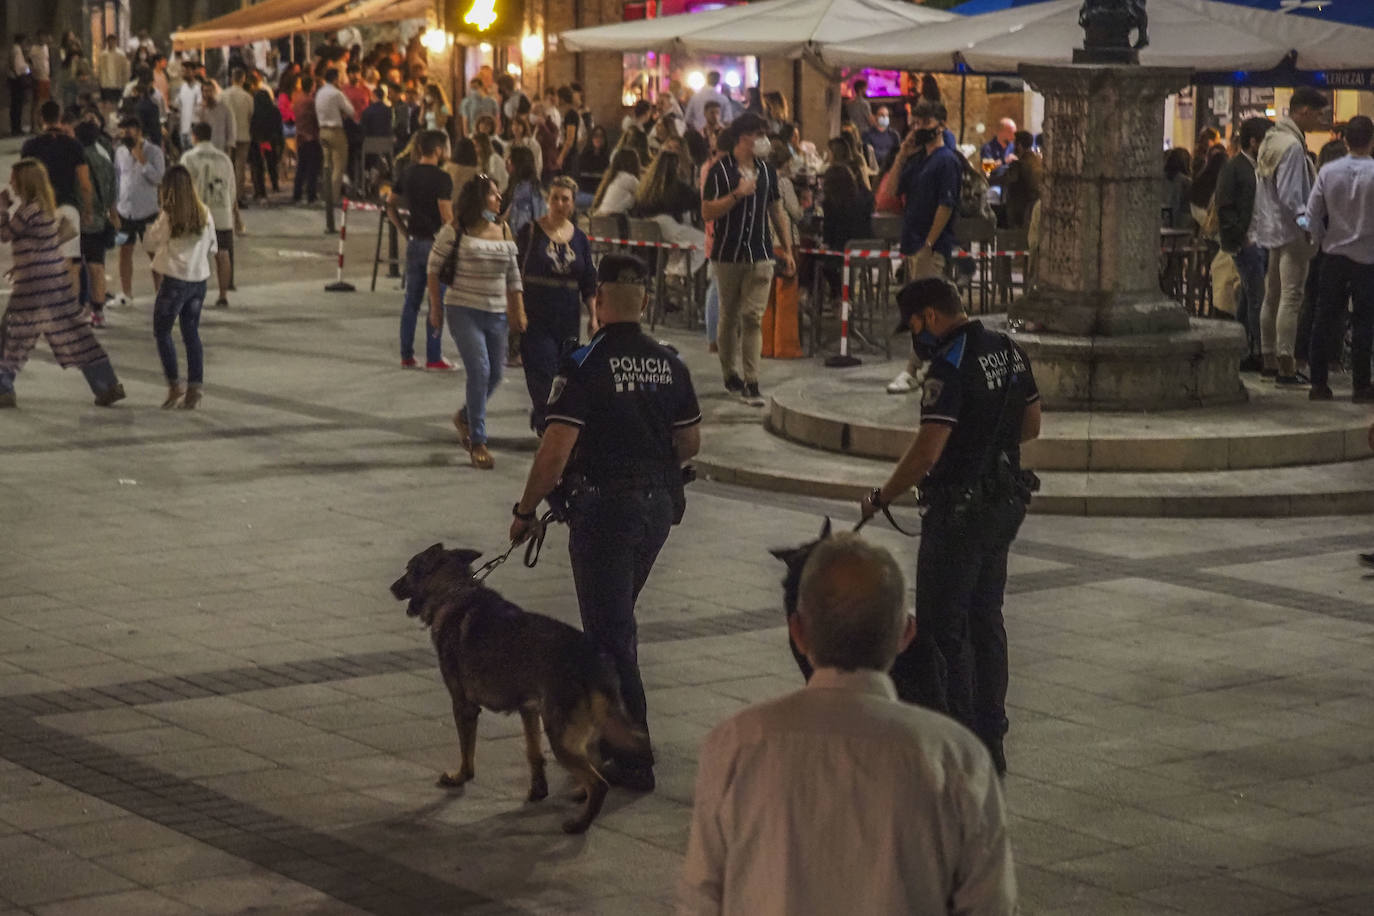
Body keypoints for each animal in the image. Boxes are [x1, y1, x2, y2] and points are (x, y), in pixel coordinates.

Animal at [392, 543, 654, 840]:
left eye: (410, 570)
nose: (391, 587)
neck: (455, 591)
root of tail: (595, 659)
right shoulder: (528, 708)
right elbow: (533, 752)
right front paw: (538, 788)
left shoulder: (463, 705)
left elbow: (466, 750)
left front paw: (461, 777)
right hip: (580, 731)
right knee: (595, 764)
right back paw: (580, 793)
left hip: (560, 736)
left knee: (599, 783)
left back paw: (580, 824)